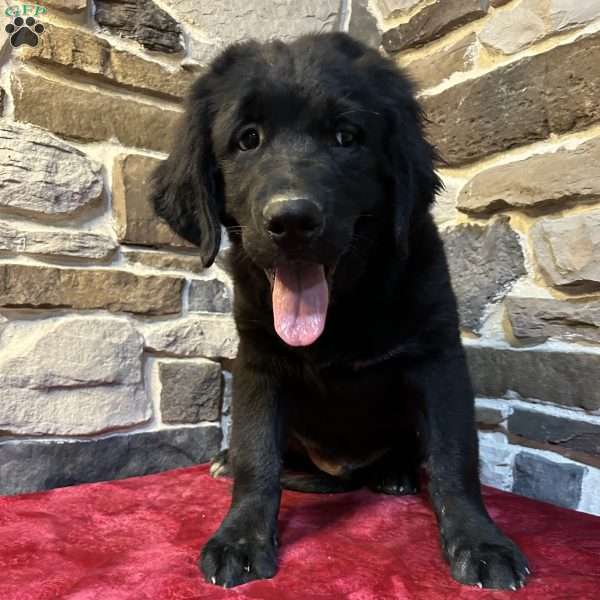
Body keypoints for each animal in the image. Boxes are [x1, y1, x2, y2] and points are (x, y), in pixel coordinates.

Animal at [151, 32, 528, 592]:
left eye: (346, 138)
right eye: (247, 140)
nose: (292, 220)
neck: (341, 310)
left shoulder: (438, 358)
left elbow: (453, 457)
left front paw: (481, 542)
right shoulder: (258, 363)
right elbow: (256, 456)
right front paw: (241, 538)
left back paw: (394, 474)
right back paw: (228, 462)